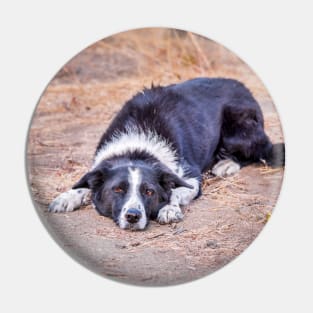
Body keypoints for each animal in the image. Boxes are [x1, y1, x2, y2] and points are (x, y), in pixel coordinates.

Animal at [48, 78, 282, 229]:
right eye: (117, 189)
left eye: (149, 192)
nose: (133, 216)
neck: (137, 147)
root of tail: (246, 89)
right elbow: (84, 184)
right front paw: (67, 197)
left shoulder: (191, 175)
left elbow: (175, 190)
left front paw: (169, 208)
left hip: (238, 127)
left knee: (260, 151)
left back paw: (226, 164)